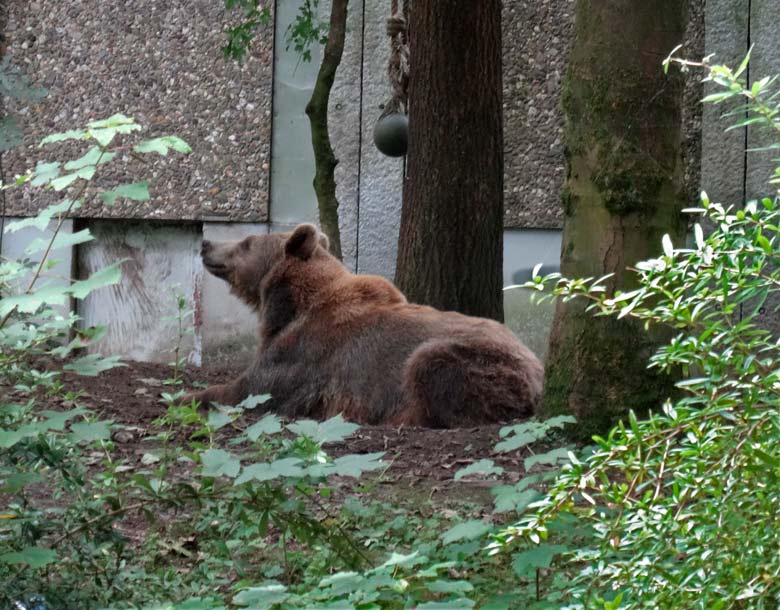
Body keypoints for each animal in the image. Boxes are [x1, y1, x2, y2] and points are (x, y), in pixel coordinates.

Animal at [187, 224, 544, 428]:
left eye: (246, 242)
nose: (205, 244)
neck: (286, 305)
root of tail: (537, 369)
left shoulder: (299, 354)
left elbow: (249, 390)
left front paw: (187, 396)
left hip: (481, 361)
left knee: (430, 367)